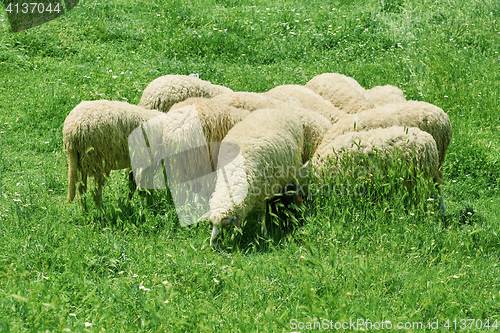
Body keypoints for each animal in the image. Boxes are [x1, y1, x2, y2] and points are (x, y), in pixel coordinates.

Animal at [200, 107, 304, 245]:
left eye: (226, 225)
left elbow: (262, 215)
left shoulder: (262, 193)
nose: (213, 245)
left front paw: (264, 234)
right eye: (211, 224)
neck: (234, 172)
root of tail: (277, 109)